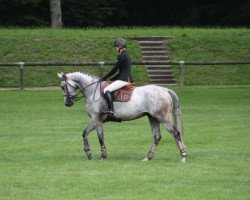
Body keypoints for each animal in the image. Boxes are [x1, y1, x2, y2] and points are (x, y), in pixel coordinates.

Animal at [58, 72, 188, 162]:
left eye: (63, 86)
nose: (67, 103)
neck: (92, 90)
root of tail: (165, 90)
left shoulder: (97, 119)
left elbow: (100, 137)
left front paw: (103, 156)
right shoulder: (97, 120)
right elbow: (85, 132)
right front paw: (88, 153)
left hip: (163, 118)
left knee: (176, 133)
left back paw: (183, 157)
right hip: (152, 117)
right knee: (157, 136)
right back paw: (148, 157)